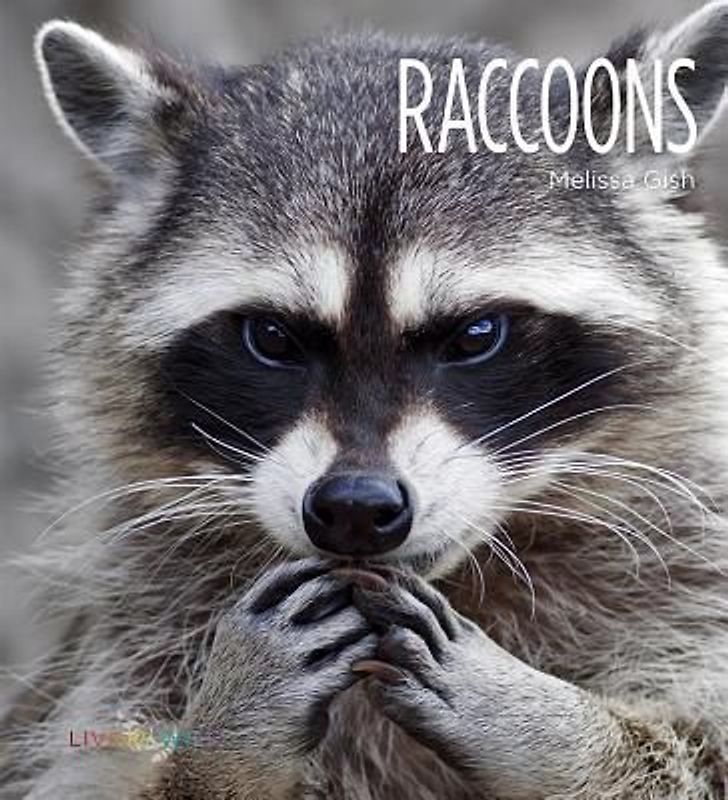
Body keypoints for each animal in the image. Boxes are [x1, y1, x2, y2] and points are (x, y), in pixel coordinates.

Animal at [3, 2, 728, 798]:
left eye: (477, 334)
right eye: (272, 337)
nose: (355, 506)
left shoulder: (694, 574)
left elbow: (700, 753)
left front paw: (550, 730)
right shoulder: (129, 640)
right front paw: (226, 739)